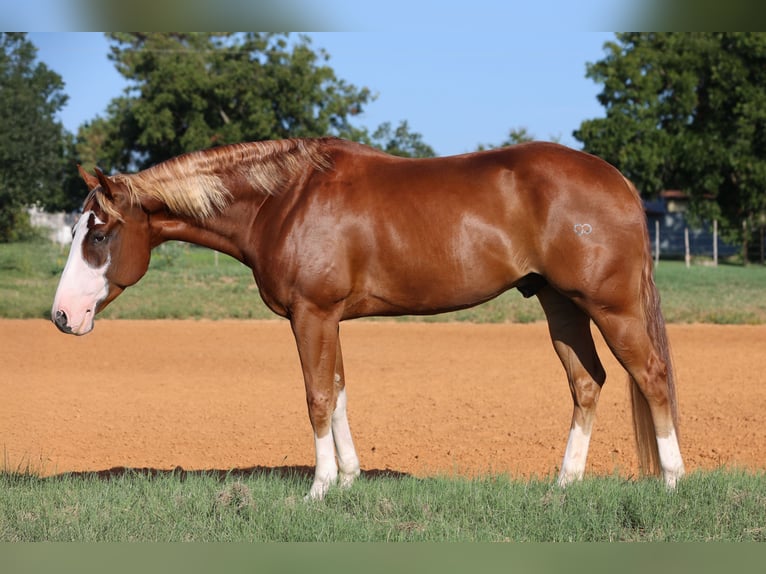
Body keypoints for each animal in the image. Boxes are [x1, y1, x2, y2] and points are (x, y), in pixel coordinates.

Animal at [51, 137, 685, 499]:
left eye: (100, 232)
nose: (61, 315)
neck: (284, 201)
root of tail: (619, 181)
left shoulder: (311, 314)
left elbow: (316, 396)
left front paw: (320, 488)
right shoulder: (326, 319)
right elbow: (338, 390)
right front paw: (350, 478)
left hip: (610, 306)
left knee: (651, 377)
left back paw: (673, 481)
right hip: (559, 303)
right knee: (587, 382)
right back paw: (564, 484)